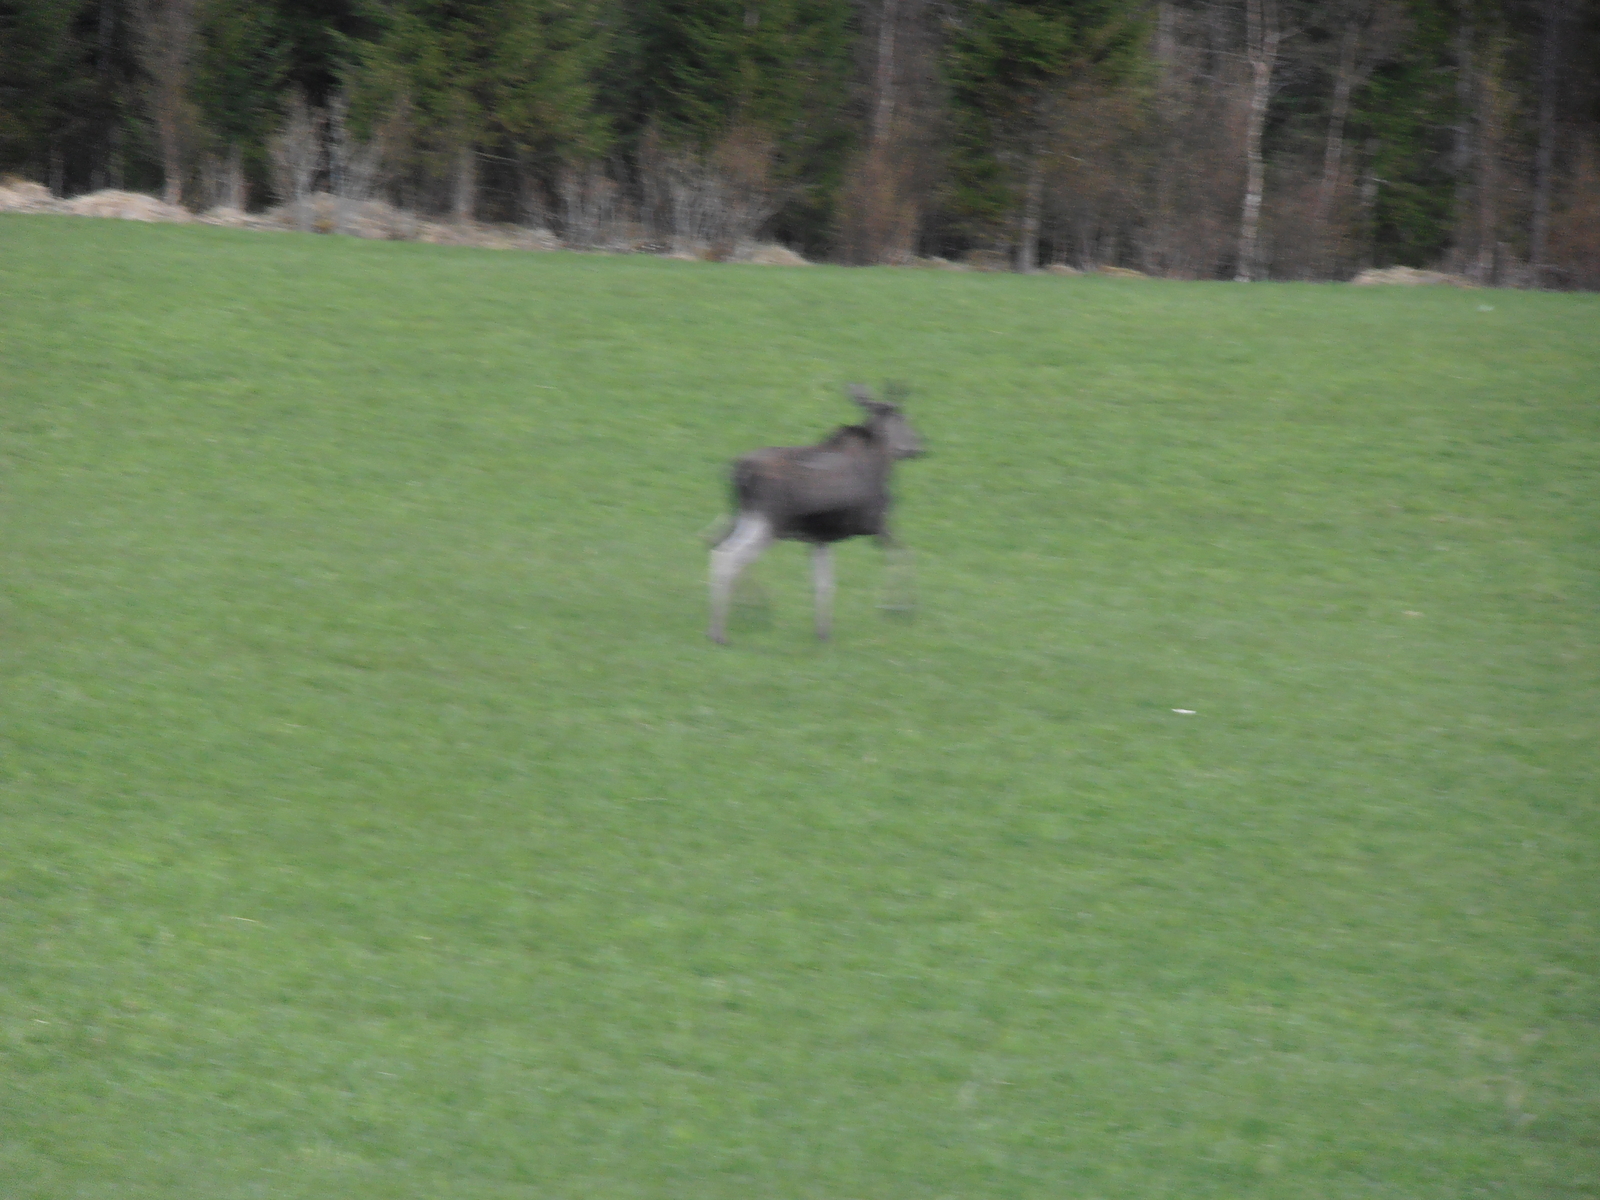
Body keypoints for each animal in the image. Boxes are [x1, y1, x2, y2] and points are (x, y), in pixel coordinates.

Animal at [708, 384, 924, 644]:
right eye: (903, 418)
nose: (919, 446)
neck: (883, 460)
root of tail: (740, 472)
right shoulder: (877, 526)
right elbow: (905, 557)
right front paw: (902, 609)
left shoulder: (820, 538)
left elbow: (824, 583)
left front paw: (823, 632)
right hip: (769, 523)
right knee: (727, 556)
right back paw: (721, 630)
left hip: (744, 516)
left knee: (720, 547)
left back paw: (745, 608)